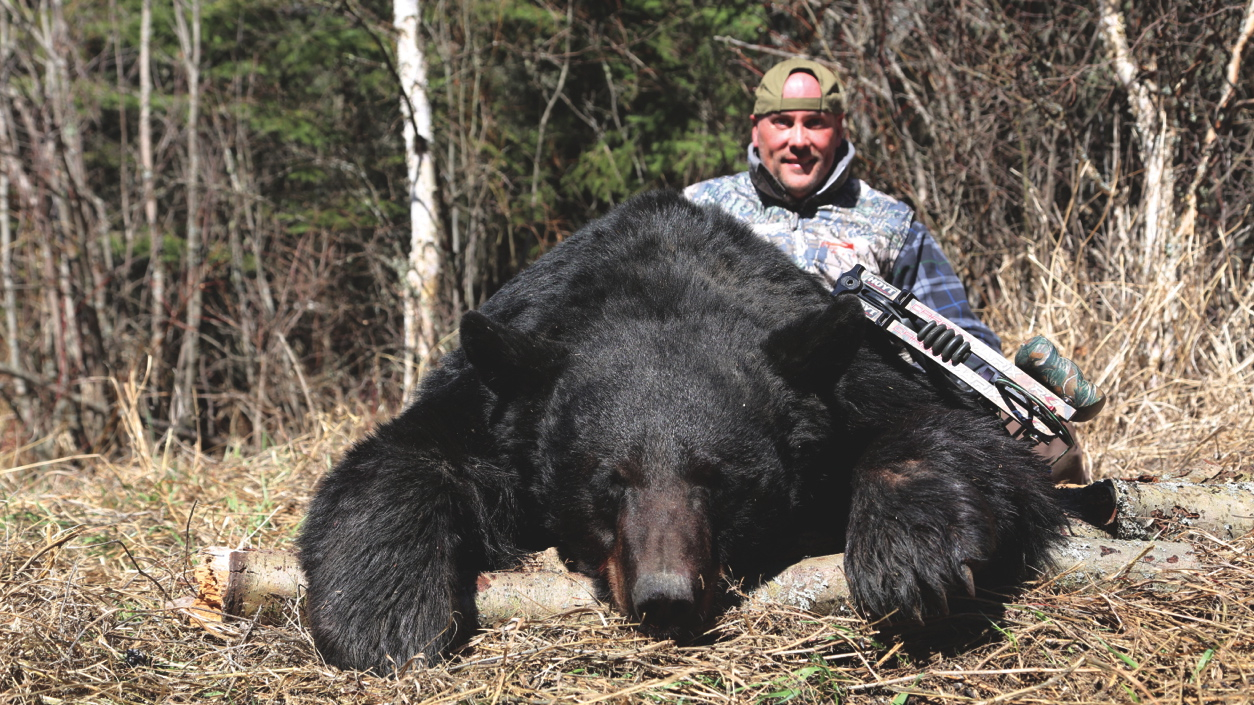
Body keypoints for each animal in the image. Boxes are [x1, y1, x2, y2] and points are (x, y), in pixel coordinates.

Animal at [295, 189, 1068, 672]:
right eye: (609, 481)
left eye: (719, 480)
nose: (665, 596)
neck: (658, 284)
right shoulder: (498, 392)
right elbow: (403, 455)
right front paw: (383, 616)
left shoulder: (843, 378)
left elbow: (948, 433)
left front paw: (913, 558)